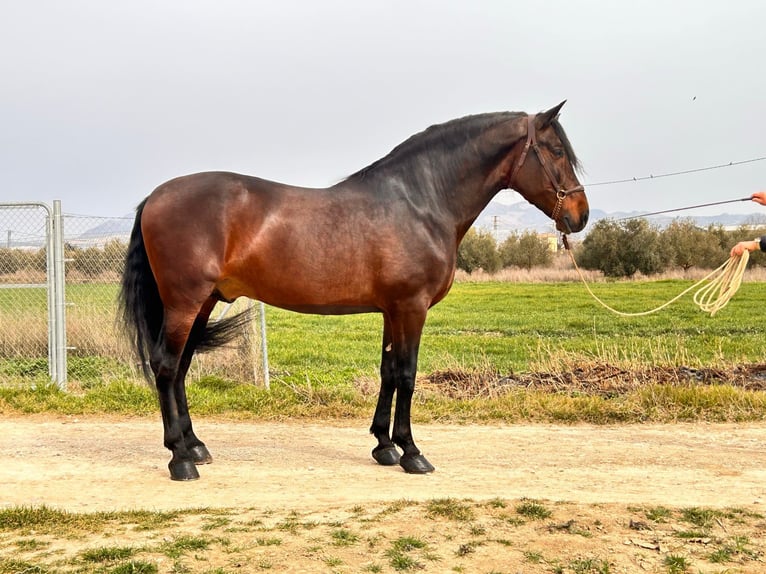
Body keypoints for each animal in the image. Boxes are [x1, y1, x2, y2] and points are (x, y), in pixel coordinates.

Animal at [120, 102, 592, 482]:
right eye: (556, 151)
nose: (580, 215)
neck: (420, 202)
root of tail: (155, 196)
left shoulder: (391, 310)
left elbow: (388, 373)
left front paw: (384, 447)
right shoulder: (412, 307)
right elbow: (408, 375)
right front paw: (412, 453)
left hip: (202, 303)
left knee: (181, 368)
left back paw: (195, 446)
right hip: (184, 303)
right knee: (166, 367)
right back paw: (181, 460)